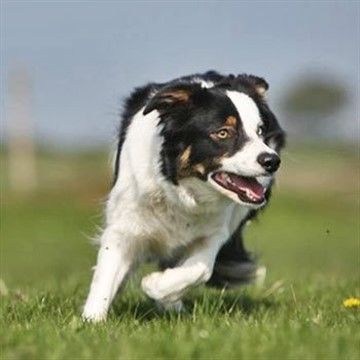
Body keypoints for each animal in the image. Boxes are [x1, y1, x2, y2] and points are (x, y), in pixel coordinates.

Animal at [81, 70, 284, 320]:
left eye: (260, 132)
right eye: (223, 132)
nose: (272, 160)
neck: (182, 193)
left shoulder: (214, 232)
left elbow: (201, 269)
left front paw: (156, 286)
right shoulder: (124, 226)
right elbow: (106, 275)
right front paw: (91, 321)